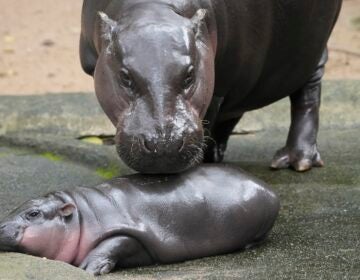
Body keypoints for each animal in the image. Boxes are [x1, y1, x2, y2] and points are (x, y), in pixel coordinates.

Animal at [0, 164, 280, 276]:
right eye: (15, 207)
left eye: (33, 213)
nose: (0, 225)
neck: (80, 215)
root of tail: (268, 188)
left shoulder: (132, 231)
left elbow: (115, 243)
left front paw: (88, 268)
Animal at [81, 0, 344, 173]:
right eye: (125, 77)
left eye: (189, 75)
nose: (164, 144)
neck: (153, 10)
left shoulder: (218, 86)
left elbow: (208, 118)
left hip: (311, 51)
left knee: (307, 94)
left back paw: (296, 161)